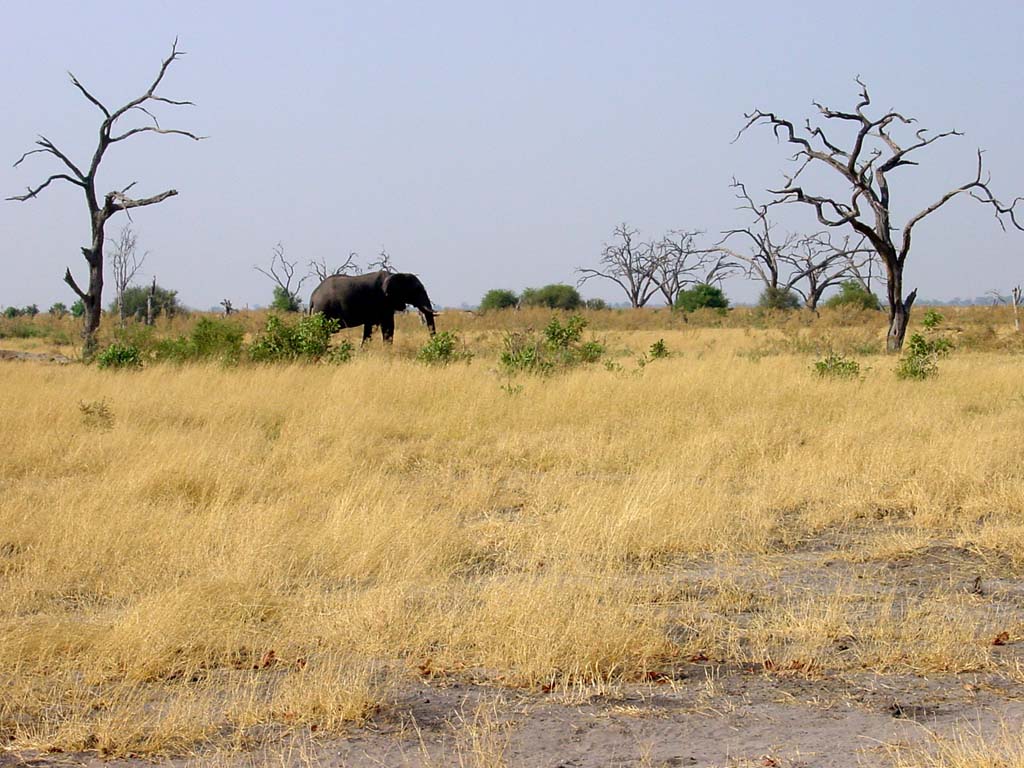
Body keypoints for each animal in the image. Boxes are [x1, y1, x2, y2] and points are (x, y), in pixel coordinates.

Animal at [307, 270, 436, 342]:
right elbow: (388, 327)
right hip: (323, 310)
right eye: (417, 290)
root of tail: (313, 296)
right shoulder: (382, 300)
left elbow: (369, 329)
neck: (396, 275)